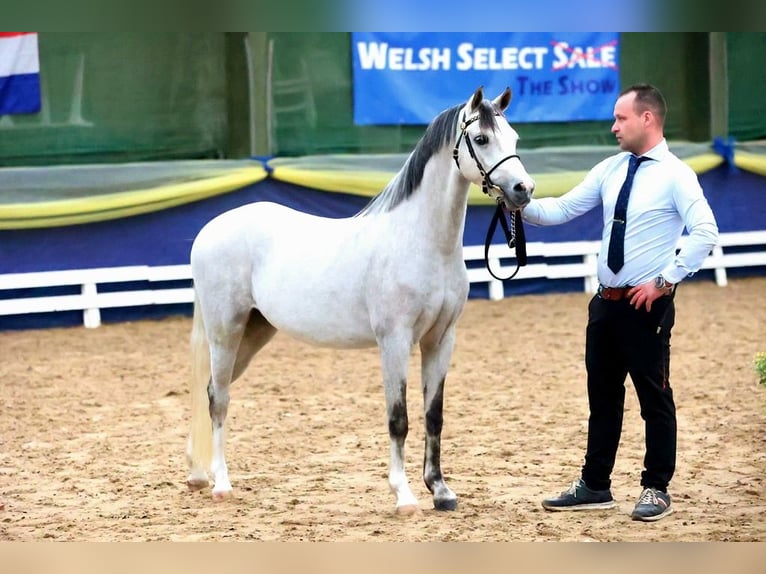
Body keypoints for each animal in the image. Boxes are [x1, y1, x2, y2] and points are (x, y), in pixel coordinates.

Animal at [186, 86, 535, 514]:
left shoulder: (441, 339)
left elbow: (433, 415)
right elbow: (398, 418)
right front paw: (404, 495)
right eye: (482, 139)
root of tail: (210, 229)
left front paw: (440, 490)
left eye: (515, 138)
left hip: (253, 333)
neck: (421, 241)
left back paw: (199, 474)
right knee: (218, 398)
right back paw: (221, 482)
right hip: (226, 330)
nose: (523, 190)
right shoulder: (395, 341)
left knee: (210, 390)